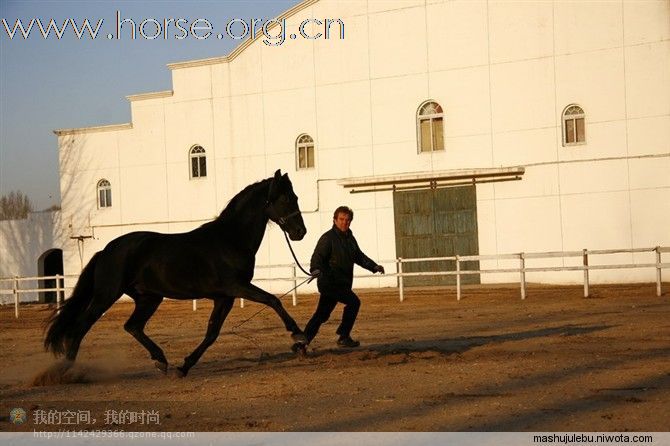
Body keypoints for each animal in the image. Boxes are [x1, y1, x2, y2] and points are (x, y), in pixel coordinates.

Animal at [43, 170, 312, 376]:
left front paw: (184, 366)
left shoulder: (224, 297)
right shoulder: (236, 287)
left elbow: (212, 333)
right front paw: (298, 335)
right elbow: (273, 300)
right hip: (107, 295)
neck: (230, 239)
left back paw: (161, 361)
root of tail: (107, 250)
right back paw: (66, 371)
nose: (300, 232)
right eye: (286, 199)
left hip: (149, 298)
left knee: (132, 326)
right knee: (81, 326)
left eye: (296, 197)